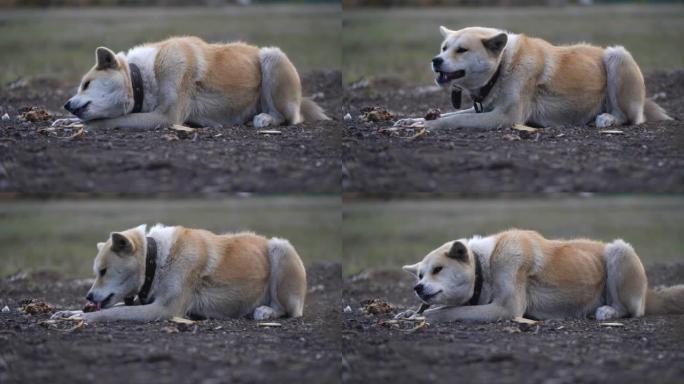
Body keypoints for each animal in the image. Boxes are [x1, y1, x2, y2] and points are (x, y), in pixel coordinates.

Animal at [52, 224, 308, 322]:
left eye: (103, 271)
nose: (88, 297)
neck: (156, 260)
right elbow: (115, 308)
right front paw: (68, 312)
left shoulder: (165, 309)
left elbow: (112, 313)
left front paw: (82, 318)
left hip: (281, 249)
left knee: (287, 310)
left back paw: (265, 311)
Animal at [54, 36, 328, 131]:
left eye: (86, 84)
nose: (66, 104)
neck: (143, 76)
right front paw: (64, 122)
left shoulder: (167, 117)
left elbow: (109, 120)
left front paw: (77, 127)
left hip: (272, 56)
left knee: (289, 118)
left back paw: (265, 119)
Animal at [392, 26, 672, 130]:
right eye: (444, 48)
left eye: (462, 50)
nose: (435, 61)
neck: (503, 66)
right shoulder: (487, 109)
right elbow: (449, 114)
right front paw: (410, 120)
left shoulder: (506, 117)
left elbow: (451, 120)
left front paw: (420, 127)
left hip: (617, 56)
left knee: (631, 118)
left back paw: (606, 118)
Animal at [396, 230, 684, 322]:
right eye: (419, 275)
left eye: (438, 270)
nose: (417, 289)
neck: (485, 265)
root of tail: (649, 292)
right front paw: (409, 312)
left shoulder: (507, 309)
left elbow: (449, 310)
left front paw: (424, 316)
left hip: (619, 251)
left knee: (632, 310)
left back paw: (607, 311)